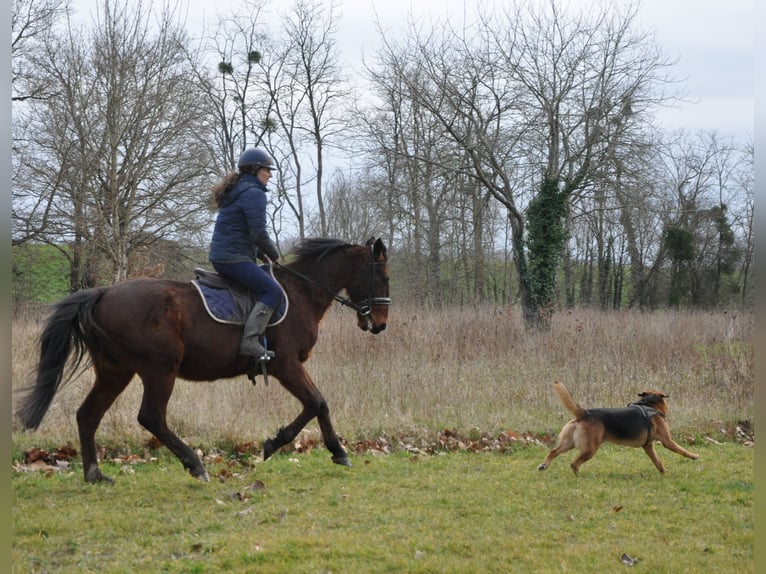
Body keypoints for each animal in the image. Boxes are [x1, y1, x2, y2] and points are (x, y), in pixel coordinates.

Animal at [15, 236, 392, 484]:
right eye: (384, 276)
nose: (380, 324)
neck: (301, 294)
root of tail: (103, 292)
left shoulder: (291, 367)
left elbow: (319, 404)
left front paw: (334, 450)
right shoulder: (286, 365)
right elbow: (316, 403)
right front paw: (278, 444)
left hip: (115, 371)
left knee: (88, 415)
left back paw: (94, 474)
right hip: (159, 369)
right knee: (151, 417)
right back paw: (195, 464)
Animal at [540, 384, 704, 474]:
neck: (649, 405)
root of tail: (585, 413)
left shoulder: (648, 446)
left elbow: (657, 461)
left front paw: (663, 471)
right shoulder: (667, 441)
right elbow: (682, 450)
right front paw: (694, 456)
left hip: (569, 443)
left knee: (553, 451)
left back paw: (544, 465)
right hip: (590, 448)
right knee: (574, 463)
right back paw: (578, 475)